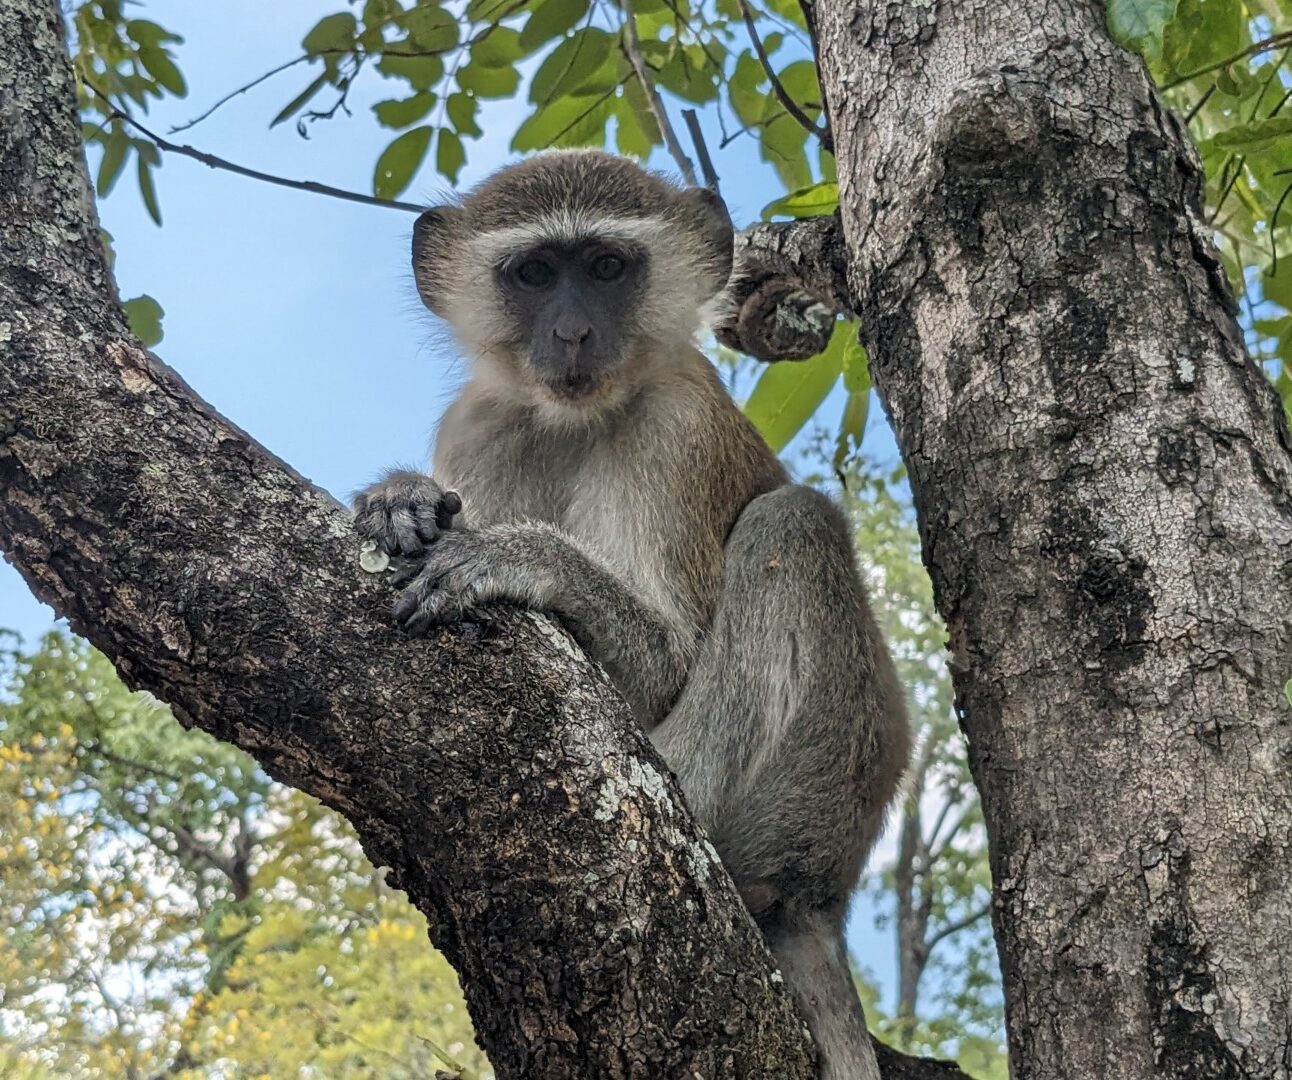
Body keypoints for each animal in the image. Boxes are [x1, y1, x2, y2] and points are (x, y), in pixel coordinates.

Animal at [352, 149, 910, 1080]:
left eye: (608, 267)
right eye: (536, 274)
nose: (574, 334)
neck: (573, 420)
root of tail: (823, 895)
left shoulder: (674, 428)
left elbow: (667, 665)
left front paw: (524, 557)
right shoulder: (478, 426)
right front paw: (399, 498)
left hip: (807, 792)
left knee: (795, 526)